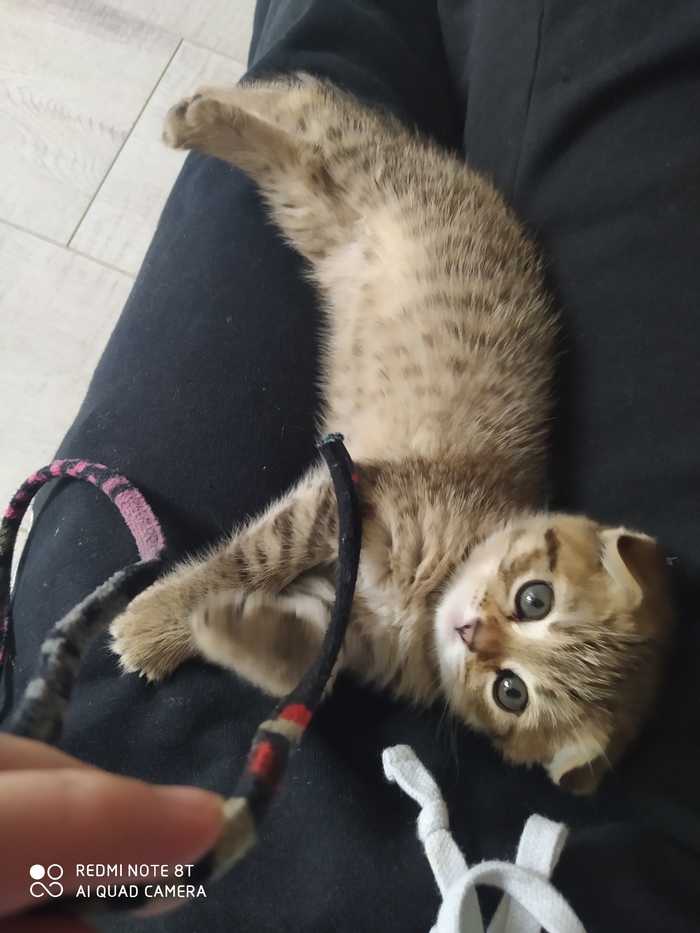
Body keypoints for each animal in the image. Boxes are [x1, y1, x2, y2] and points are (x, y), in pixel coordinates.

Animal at [110, 76, 675, 794]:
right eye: (535, 598)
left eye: (511, 691)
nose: (472, 632)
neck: (431, 595)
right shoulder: (346, 493)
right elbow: (249, 556)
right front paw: (158, 620)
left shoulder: (339, 610)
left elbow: (298, 661)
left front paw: (221, 629)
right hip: (362, 177)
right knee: (314, 120)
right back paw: (201, 113)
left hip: (309, 211)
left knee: (299, 144)